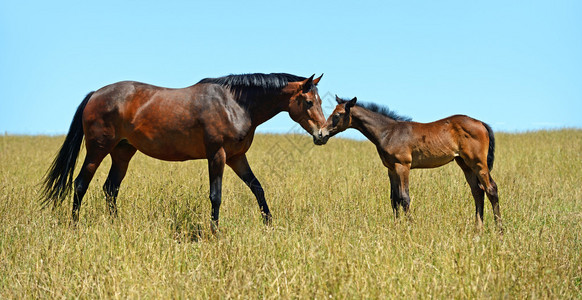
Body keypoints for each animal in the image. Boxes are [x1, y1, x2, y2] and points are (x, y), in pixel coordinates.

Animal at [41, 73, 330, 230]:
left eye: (320, 100)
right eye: (308, 101)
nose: (323, 134)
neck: (234, 104)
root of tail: (95, 94)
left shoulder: (237, 157)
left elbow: (257, 188)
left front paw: (269, 224)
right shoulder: (217, 155)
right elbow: (216, 196)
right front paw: (215, 232)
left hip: (123, 152)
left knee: (110, 189)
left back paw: (115, 225)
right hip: (98, 149)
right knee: (80, 184)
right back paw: (75, 227)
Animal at [322, 97, 504, 231]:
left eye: (337, 114)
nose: (321, 134)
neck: (388, 132)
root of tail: (481, 123)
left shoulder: (403, 166)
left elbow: (404, 197)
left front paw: (410, 227)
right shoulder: (391, 169)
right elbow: (394, 198)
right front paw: (396, 227)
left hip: (478, 163)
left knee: (491, 189)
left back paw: (499, 229)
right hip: (465, 164)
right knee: (477, 191)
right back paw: (478, 229)